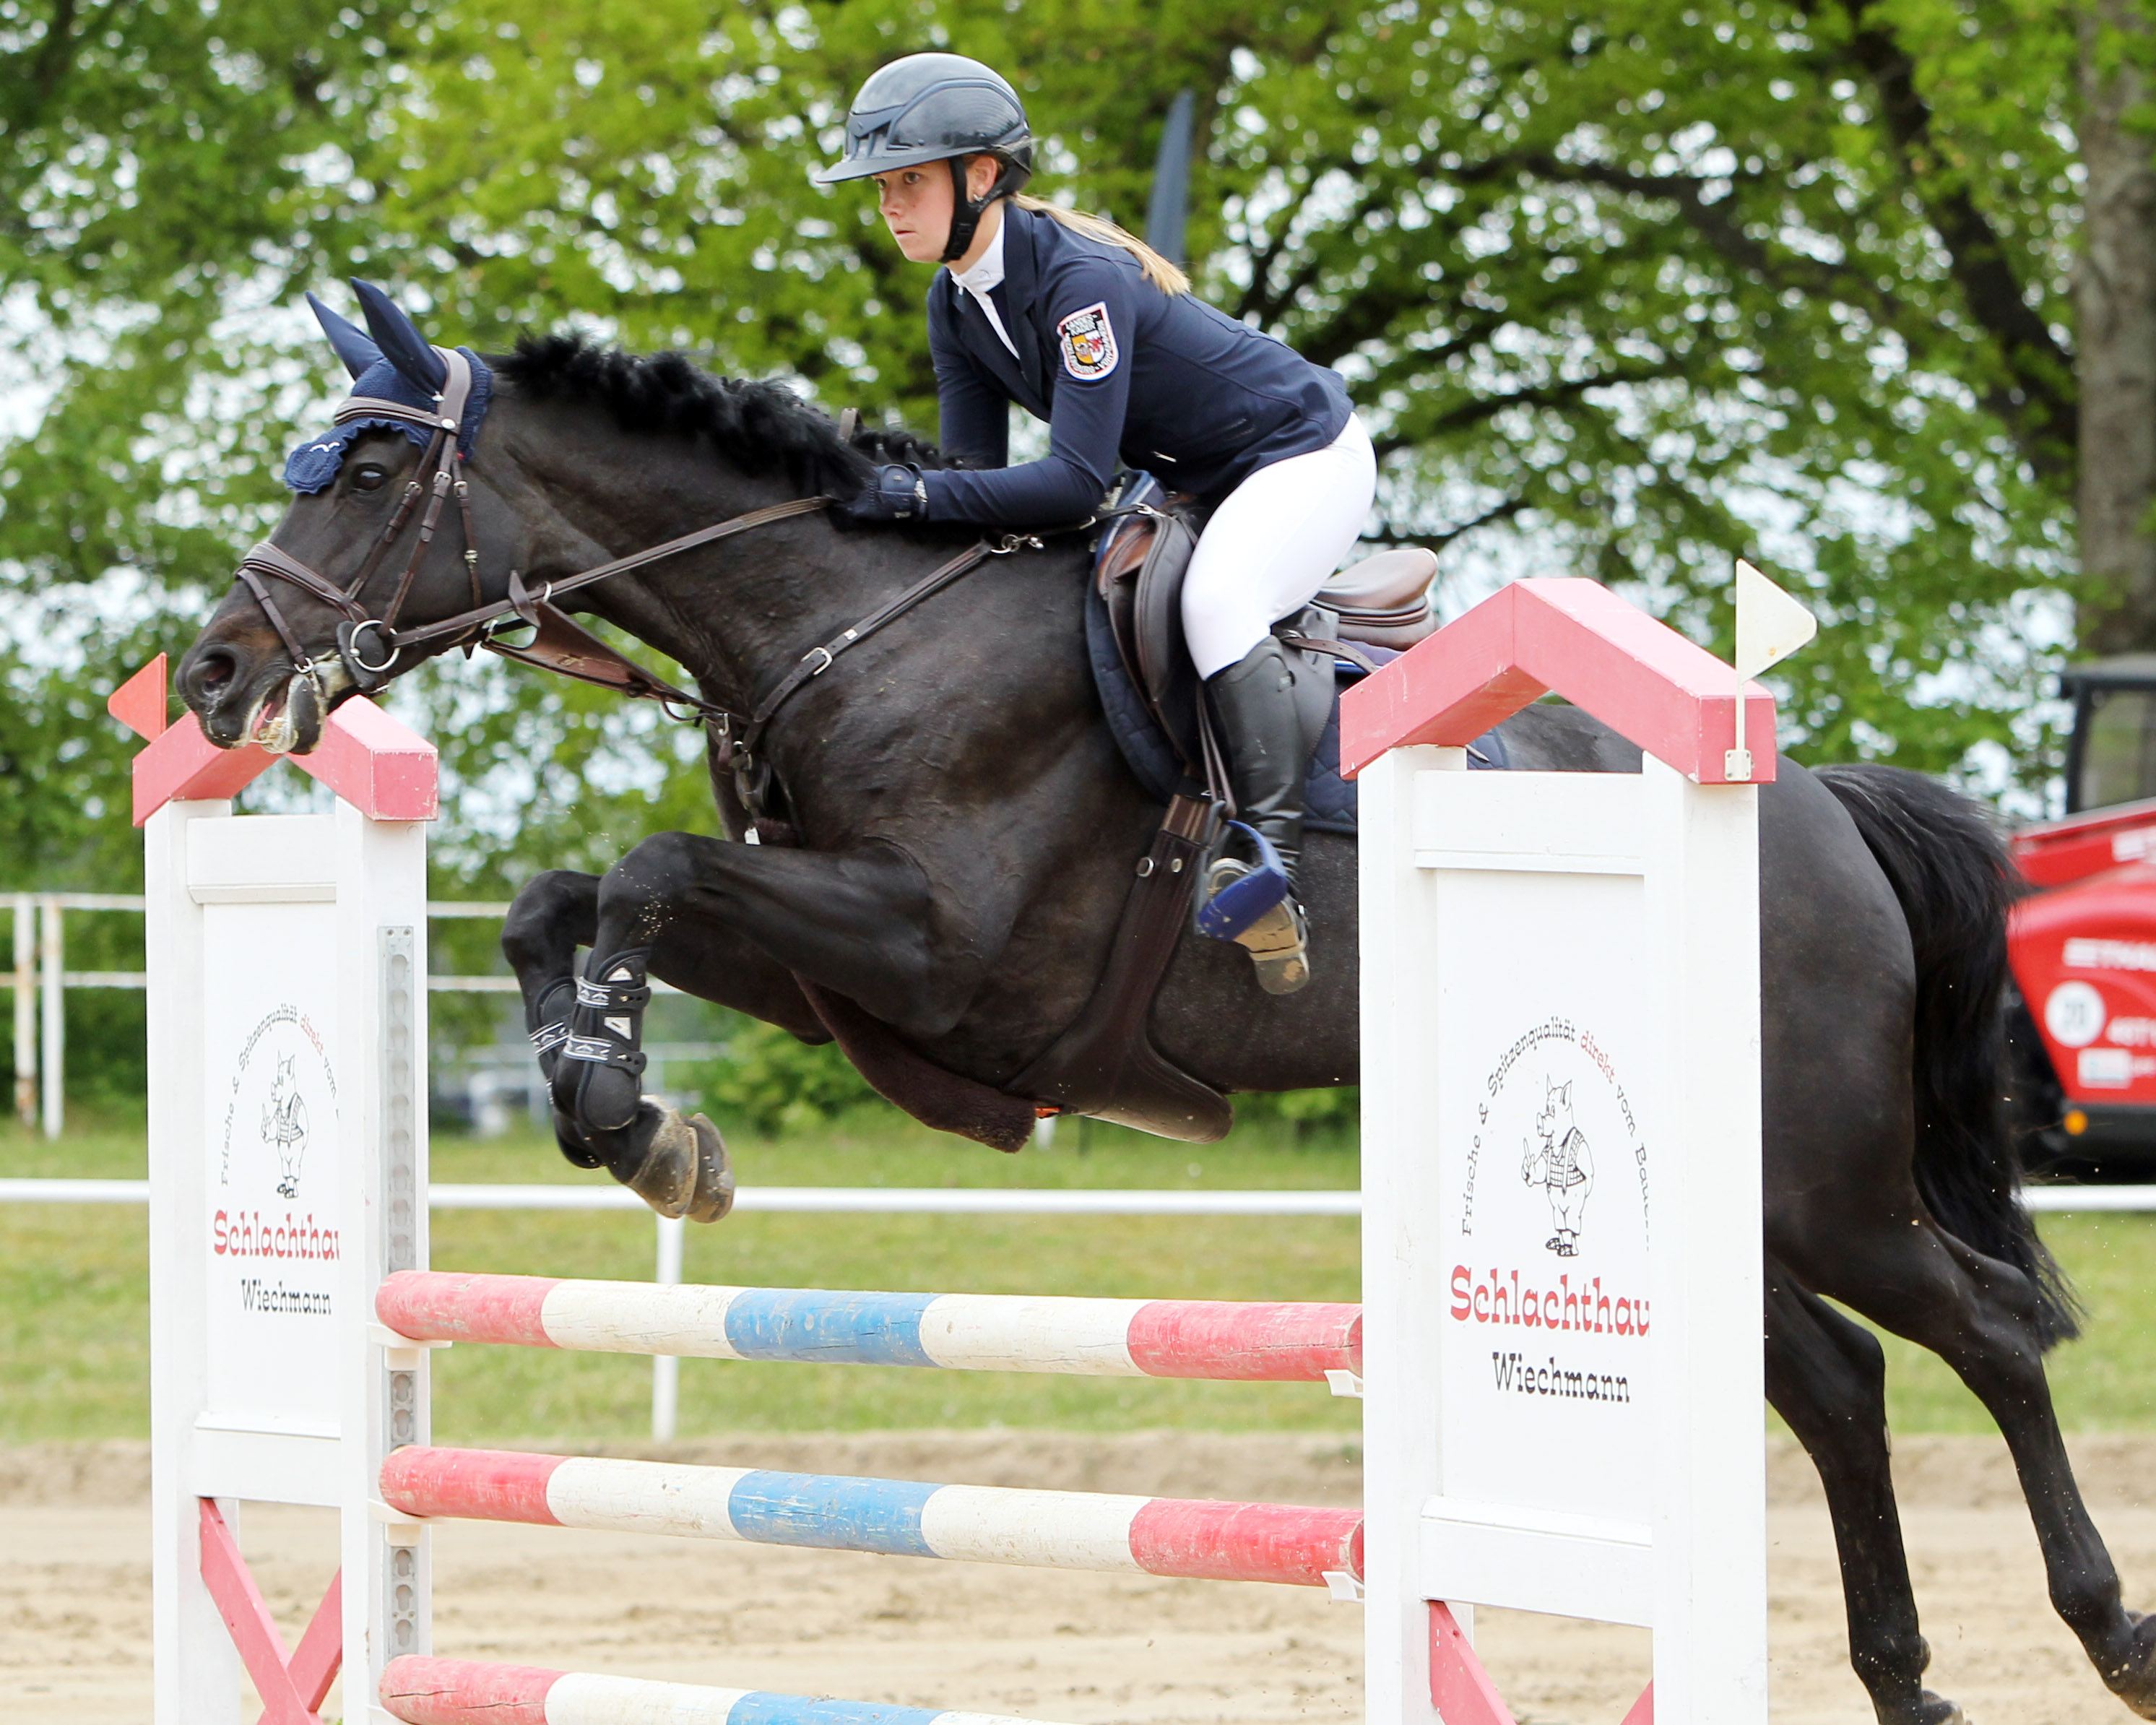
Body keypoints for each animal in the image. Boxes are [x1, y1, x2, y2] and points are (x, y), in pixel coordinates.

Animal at [181, 303, 2156, 1716]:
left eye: (368, 478)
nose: (210, 672)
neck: (842, 622)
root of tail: (1810, 801)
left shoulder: (938, 951)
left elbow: (653, 871)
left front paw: (629, 1120)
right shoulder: (847, 972)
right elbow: (566, 901)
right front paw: (636, 1115)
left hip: (1820, 1171)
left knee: (1985, 1333)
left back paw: (2107, 1633)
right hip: (1743, 1214)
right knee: (1834, 1380)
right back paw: (1904, 1683)